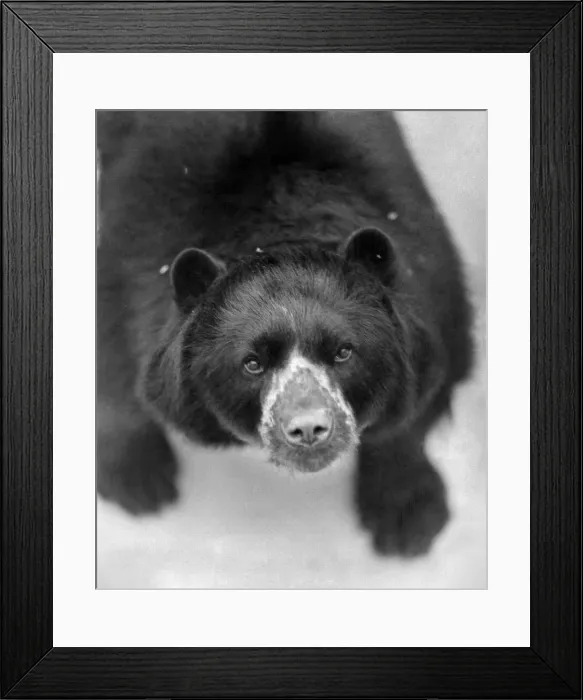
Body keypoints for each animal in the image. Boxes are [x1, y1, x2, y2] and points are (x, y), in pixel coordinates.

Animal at [97, 110, 473, 557]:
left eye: (344, 352)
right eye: (252, 363)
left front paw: (407, 519)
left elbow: (424, 391)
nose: (309, 429)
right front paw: (139, 486)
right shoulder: (135, 253)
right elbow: (115, 364)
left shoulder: (429, 267)